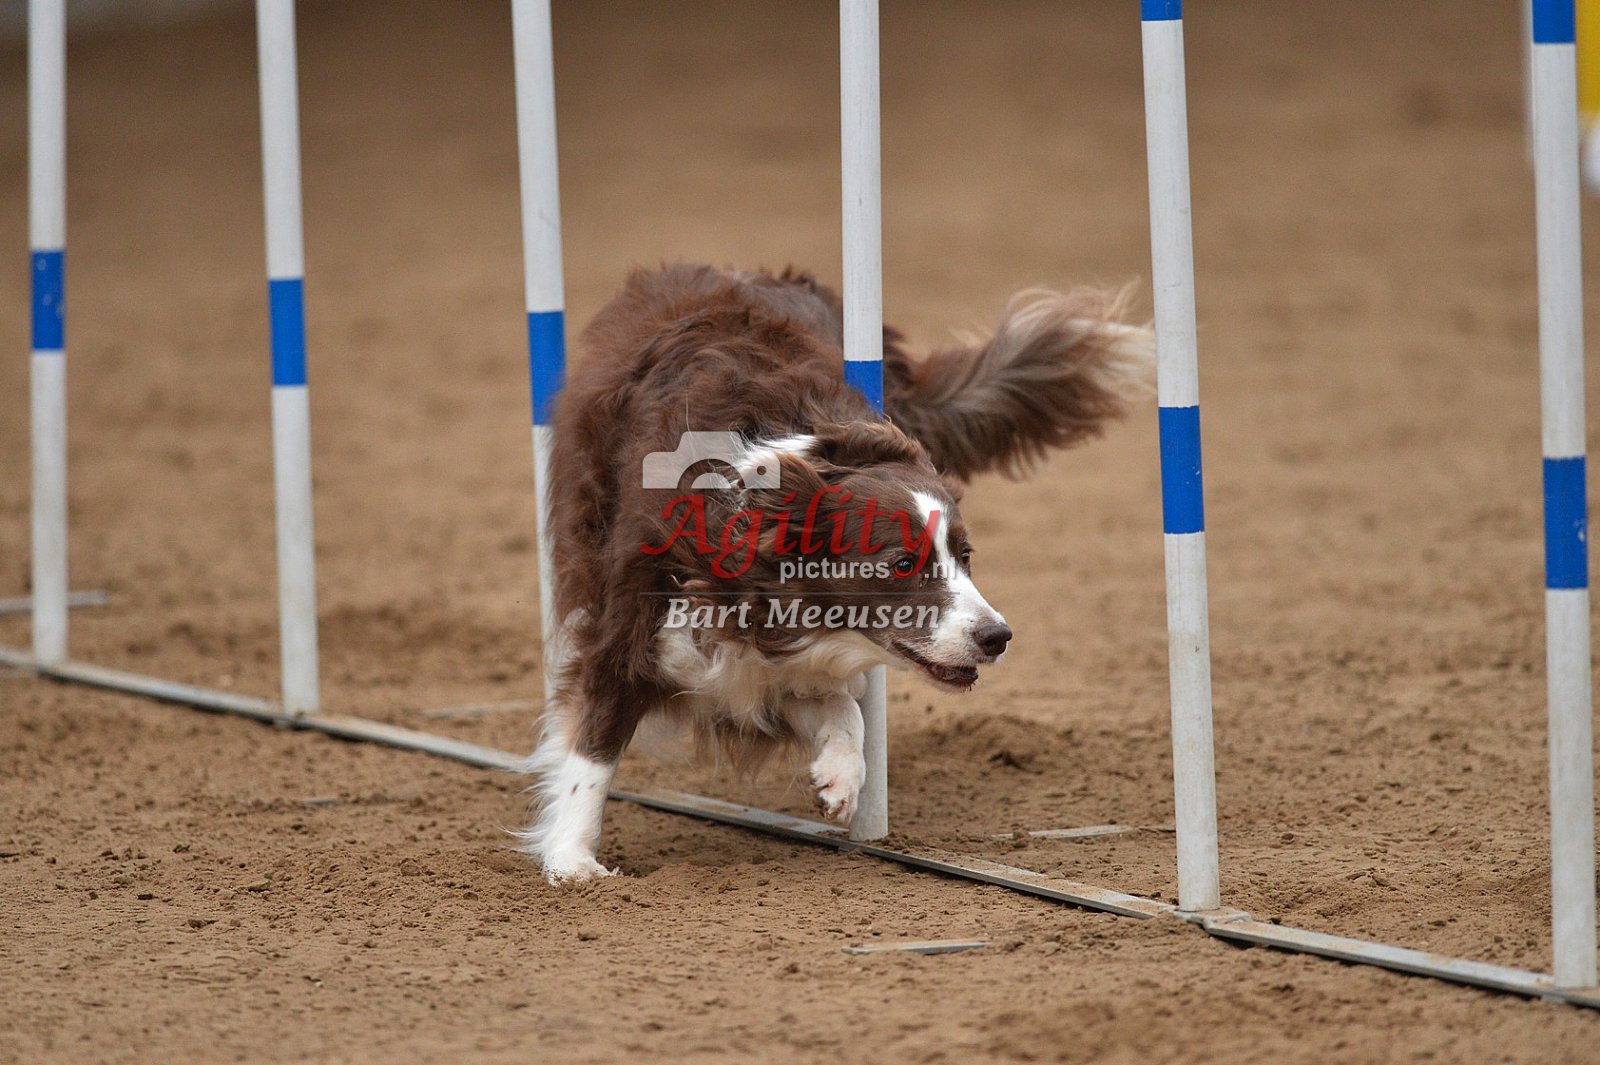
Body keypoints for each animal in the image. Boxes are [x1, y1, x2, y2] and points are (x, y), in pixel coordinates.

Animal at [517, 263, 1149, 882]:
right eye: (902, 564)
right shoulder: (628, 629)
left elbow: (839, 705)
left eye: (965, 555)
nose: (998, 637)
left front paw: (841, 776)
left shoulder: (772, 652)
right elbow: (593, 750)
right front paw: (573, 861)